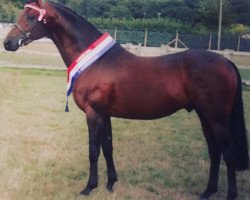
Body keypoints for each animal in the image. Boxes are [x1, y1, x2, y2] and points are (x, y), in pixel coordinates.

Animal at [2, 0, 249, 199]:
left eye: (30, 16)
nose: (8, 43)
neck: (95, 61)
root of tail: (226, 61)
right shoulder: (105, 114)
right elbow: (108, 147)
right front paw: (110, 184)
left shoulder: (93, 114)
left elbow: (93, 150)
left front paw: (89, 187)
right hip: (204, 116)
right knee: (214, 151)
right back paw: (207, 191)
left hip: (217, 119)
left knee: (228, 153)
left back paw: (230, 194)